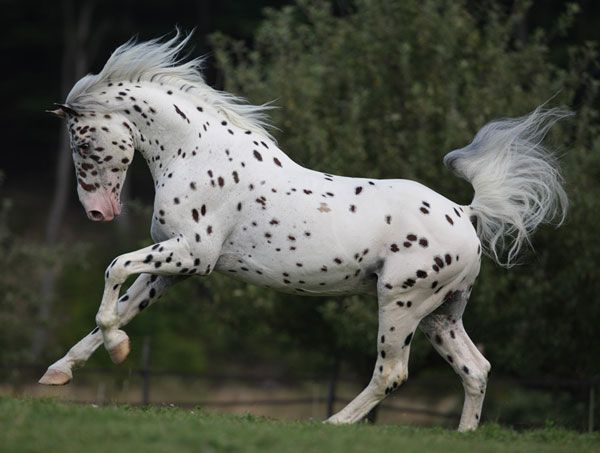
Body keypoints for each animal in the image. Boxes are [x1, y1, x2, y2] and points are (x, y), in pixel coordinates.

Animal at [38, 32, 568, 430]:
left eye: (81, 141)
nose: (98, 213)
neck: (198, 153)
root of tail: (465, 212)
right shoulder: (172, 266)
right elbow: (119, 311)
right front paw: (60, 373)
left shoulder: (192, 255)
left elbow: (113, 270)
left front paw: (116, 351)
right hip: (442, 314)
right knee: (475, 369)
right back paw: (462, 434)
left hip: (401, 302)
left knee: (392, 372)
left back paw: (334, 424)